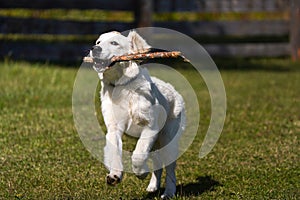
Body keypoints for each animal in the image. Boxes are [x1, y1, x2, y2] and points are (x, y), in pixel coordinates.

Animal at [86, 30, 185, 198]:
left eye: (114, 43)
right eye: (98, 42)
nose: (94, 49)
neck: (122, 86)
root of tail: (174, 90)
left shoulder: (150, 127)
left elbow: (138, 154)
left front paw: (141, 173)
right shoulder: (114, 128)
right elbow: (115, 152)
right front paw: (114, 175)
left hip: (167, 139)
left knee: (170, 168)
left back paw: (169, 193)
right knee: (157, 164)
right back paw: (153, 187)